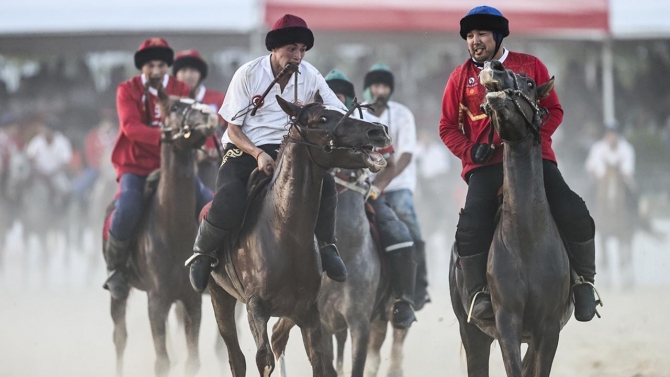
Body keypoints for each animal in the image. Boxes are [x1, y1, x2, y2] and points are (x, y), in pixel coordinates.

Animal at [207, 95, 392, 374]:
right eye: (323, 118)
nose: (378, 130)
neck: (284, 233)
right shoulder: (255, 307)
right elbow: (264, 359)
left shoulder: (309, 312)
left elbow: (318, 361)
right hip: (221, 297)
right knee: (236, 357)